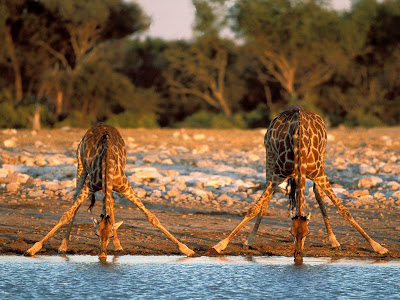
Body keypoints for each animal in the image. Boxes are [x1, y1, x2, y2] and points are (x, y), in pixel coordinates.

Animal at [24, 122, 194, 258]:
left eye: (110, 235)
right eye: (96, 234)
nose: (103, 255)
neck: (107, 163)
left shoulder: (125, 186)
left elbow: (152, 218)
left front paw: (187, 250)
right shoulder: (90, 186)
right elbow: (66, 214)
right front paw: (33, 249)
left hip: (108, 185)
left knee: (110, 203)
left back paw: (118, 246)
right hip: (80, 165)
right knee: (76, 201)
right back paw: (63, 245)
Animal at [209, 106, 388, 262]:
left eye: (308, 233)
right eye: (291, 232)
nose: (298, 256)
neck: (300, 145)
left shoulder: (319, 174)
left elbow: (344, 211)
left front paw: (378, 247)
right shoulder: (278, 174)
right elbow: (253, 208)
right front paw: (221, 244)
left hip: (322, 158)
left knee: (318, 193)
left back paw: (334, 241)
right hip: (269, 156)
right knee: (267, 198)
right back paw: (249, 240)